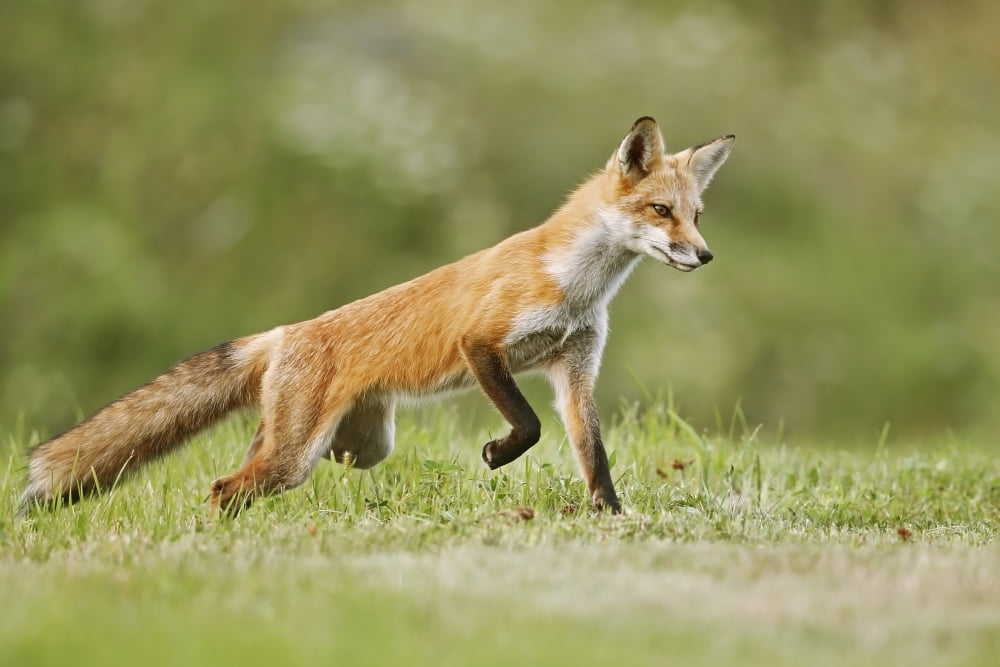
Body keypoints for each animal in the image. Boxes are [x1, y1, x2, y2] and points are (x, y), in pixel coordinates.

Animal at [20, 117, 734, 516]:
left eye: (697, 215)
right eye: (661, 212)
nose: (705, 255)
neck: (579, 285)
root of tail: (283, 333)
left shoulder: (575, 367)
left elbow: (594, 455)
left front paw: (612, 519)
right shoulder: (482, 341)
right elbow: (528, 425)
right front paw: (499, 453)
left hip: (353, 447)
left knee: (250, 473)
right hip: (300, 454)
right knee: (227, 486)